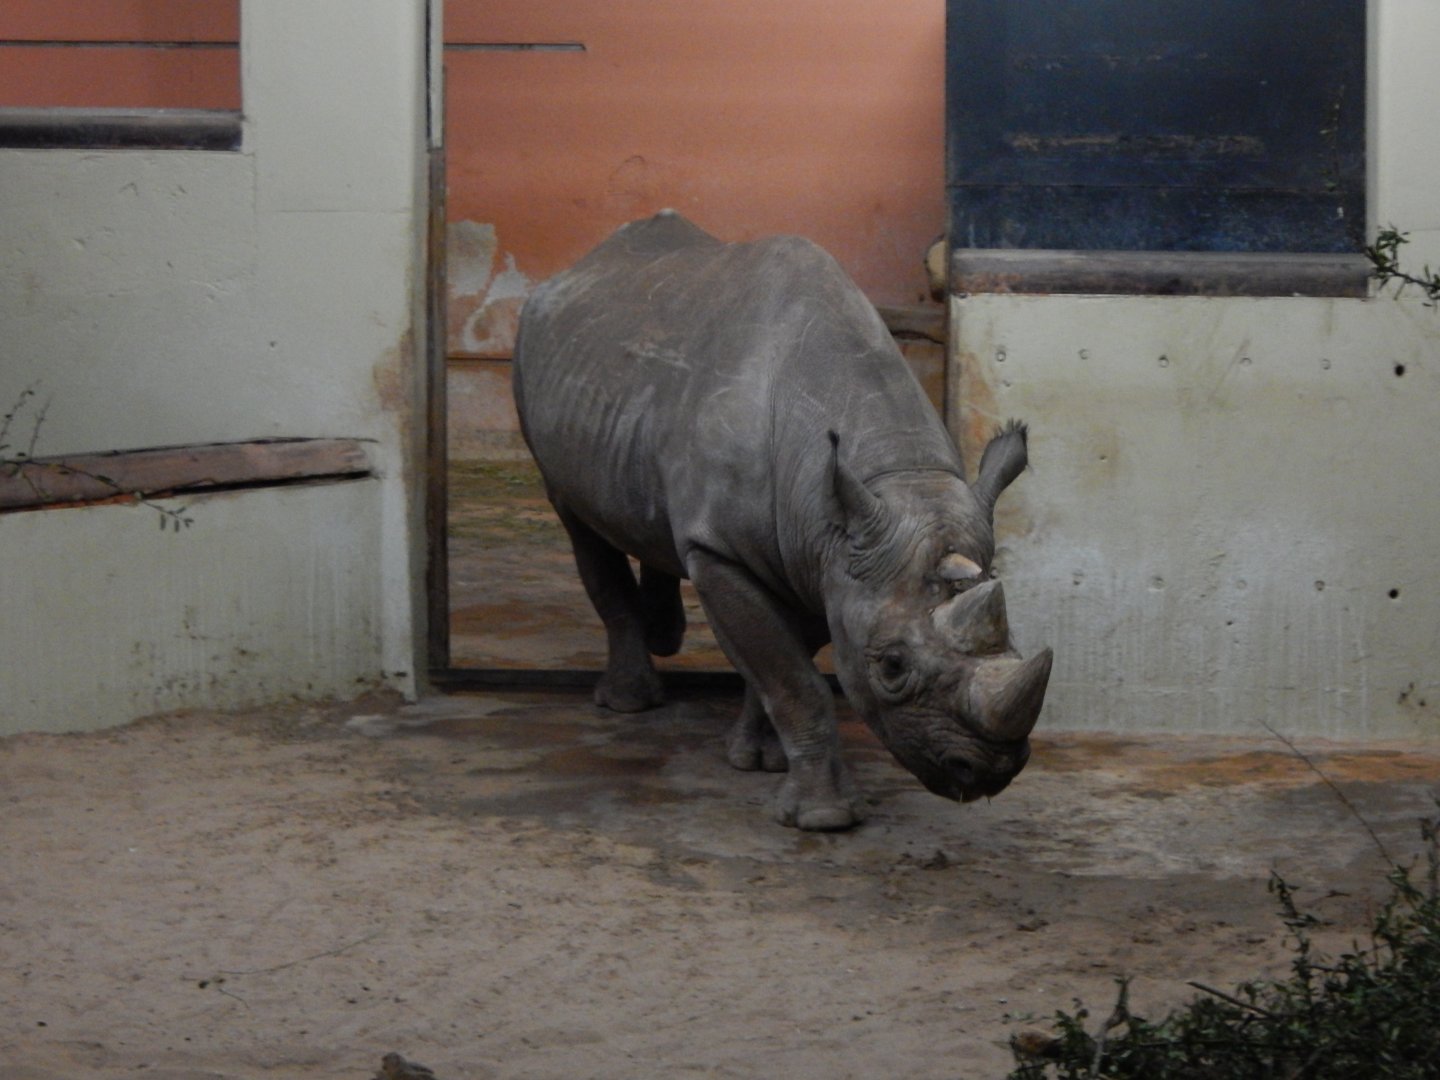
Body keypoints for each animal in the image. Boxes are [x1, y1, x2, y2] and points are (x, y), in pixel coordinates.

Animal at [513, 211, 1052, 830]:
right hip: (534, 364)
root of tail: (581, 265)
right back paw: (630, 701)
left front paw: (760, 758)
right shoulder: (730, 549)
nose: (989, 772)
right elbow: (793, 679)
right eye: (892, 666)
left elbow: (780, 660)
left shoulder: (825, 550)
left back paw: (665, 632)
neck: (894, 476)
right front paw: (824, 817)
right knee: (578, 520)